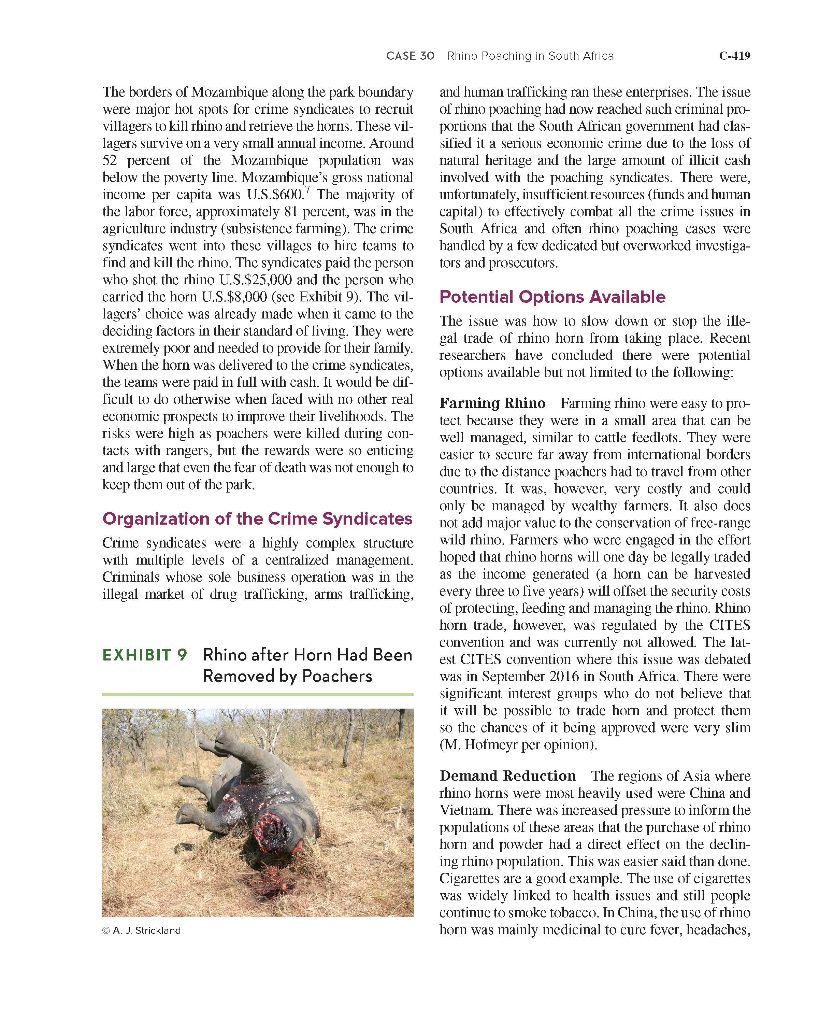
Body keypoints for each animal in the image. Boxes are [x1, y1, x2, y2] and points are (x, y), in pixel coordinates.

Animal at [176, 728, 319, 858]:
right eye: (302, 823)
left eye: (299, 848)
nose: (295, 844)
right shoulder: (266, 764)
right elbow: (249, 751)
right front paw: (224, 738)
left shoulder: (232, 815)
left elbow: (213, 822)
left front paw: (185, 814)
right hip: (230, 759)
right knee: (220, 752)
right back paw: (206, 742)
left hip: (213, 797)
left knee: (205, 788)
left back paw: (183, 780)